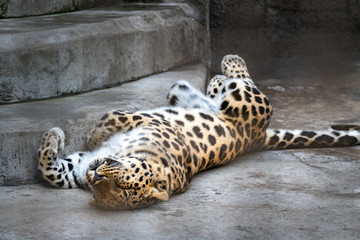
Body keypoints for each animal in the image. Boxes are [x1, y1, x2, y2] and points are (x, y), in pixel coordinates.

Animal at [37, 54, 360, 210]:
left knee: (245, 83)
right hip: (182, 95)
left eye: (123, 186)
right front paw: (53, 138)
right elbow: (51, 171)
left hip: (245, 102)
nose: (95, 176)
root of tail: (256, 139)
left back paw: (229, 63)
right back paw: (213, 81)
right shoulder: (76, 169)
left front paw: (84, 133)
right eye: (106, 190)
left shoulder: (154, 124)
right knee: (200, 92)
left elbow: (114, 116)